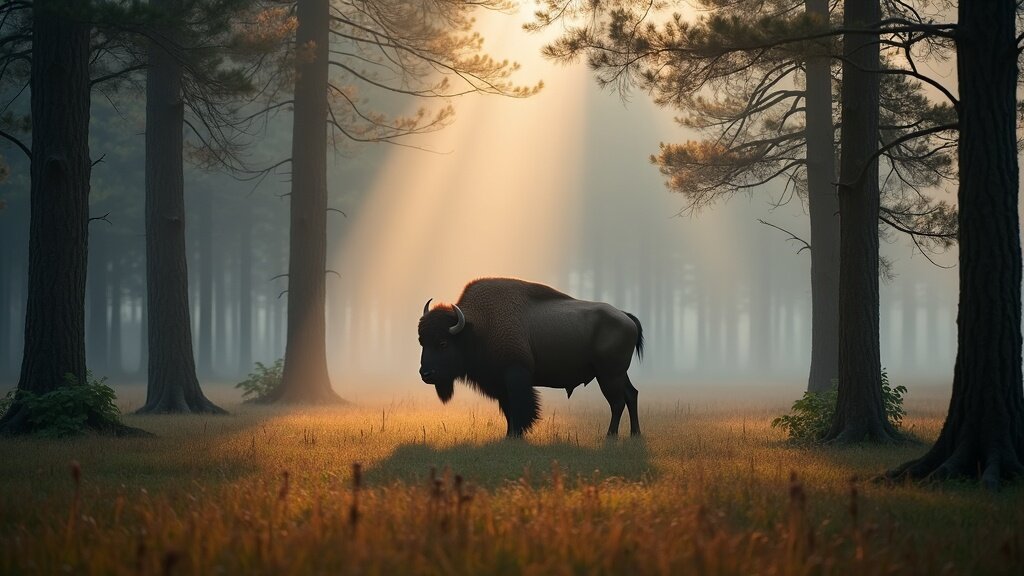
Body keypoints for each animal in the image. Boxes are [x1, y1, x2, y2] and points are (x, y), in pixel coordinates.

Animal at [417, 278, 644, 437]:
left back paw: (611, 437)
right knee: (631, 395)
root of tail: (625, 317)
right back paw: (635, 435)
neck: (477, 328)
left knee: (617, 402)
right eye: (422, 341)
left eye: (443, 343)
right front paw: (510, 435)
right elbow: (508, 409)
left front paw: (517, 434)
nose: (425, 374)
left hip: (608, 375)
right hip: (618, 374)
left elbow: (520, 407)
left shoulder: (516, 375)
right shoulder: (500, 383)